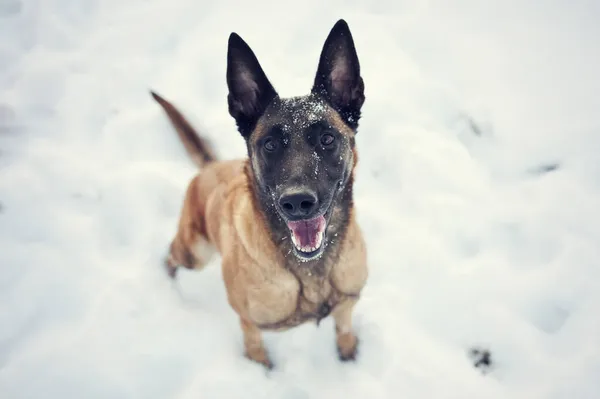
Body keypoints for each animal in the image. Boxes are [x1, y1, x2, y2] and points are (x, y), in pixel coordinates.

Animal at [150, 18, 368, 368]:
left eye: (327, 139)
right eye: (269, 145)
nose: (297, 202)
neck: (311, 271)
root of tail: (211, 165)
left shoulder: (347, 303)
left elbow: (344, 330)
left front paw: (348, 355)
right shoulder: (249, 322)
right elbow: (256, 351)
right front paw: (264, 372)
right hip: (195, 252)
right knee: (171, 255)